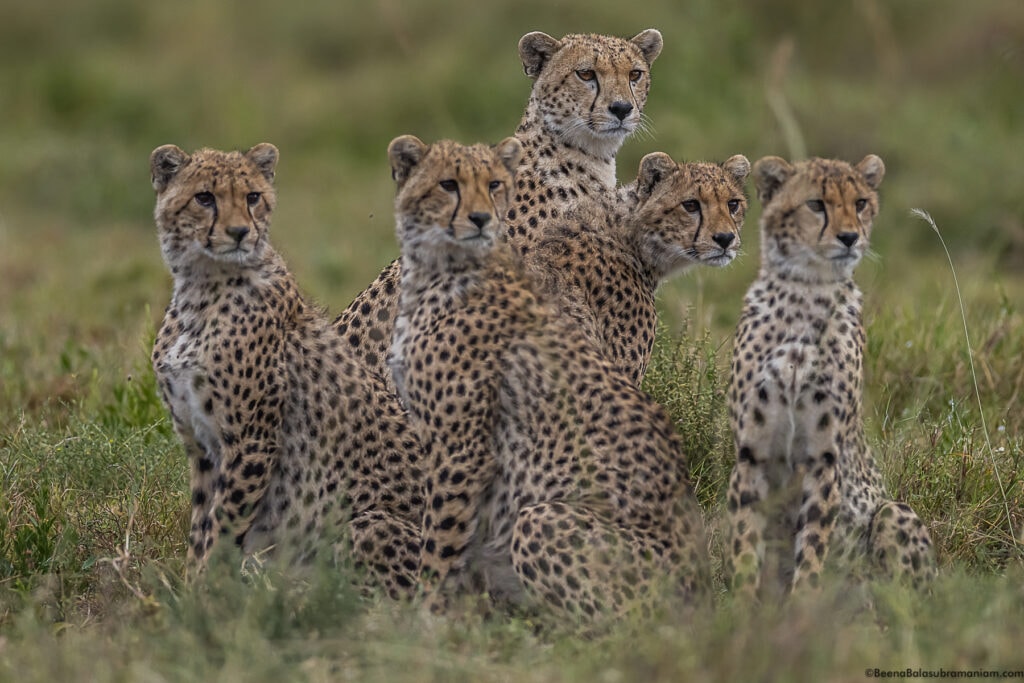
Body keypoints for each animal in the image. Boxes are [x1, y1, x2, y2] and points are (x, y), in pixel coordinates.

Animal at [149, 144, 423, 598]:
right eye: (204, 198)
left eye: (252, 197)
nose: (240, 232)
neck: (201, 289)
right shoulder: (202, 446)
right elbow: (201, 526)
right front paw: (190, 590)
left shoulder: (252, 442)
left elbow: (220, 529)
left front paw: (204, 595)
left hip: (367, 525)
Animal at [385, 135, 712, 626]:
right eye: (448, 184)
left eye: (495, 185)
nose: (481, 218)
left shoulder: (462, 449)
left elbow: (441, 542)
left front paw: (424, 618)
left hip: (542, 520)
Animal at [720, 153, 937, 598]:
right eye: (816, 204)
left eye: (860, 203)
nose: (850, 238)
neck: (807, 291)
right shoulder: (751, 453)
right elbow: (745, 542)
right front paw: (740, 608)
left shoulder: (824, 458)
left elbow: (814, 545)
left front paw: (803, 607)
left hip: (892, 513)